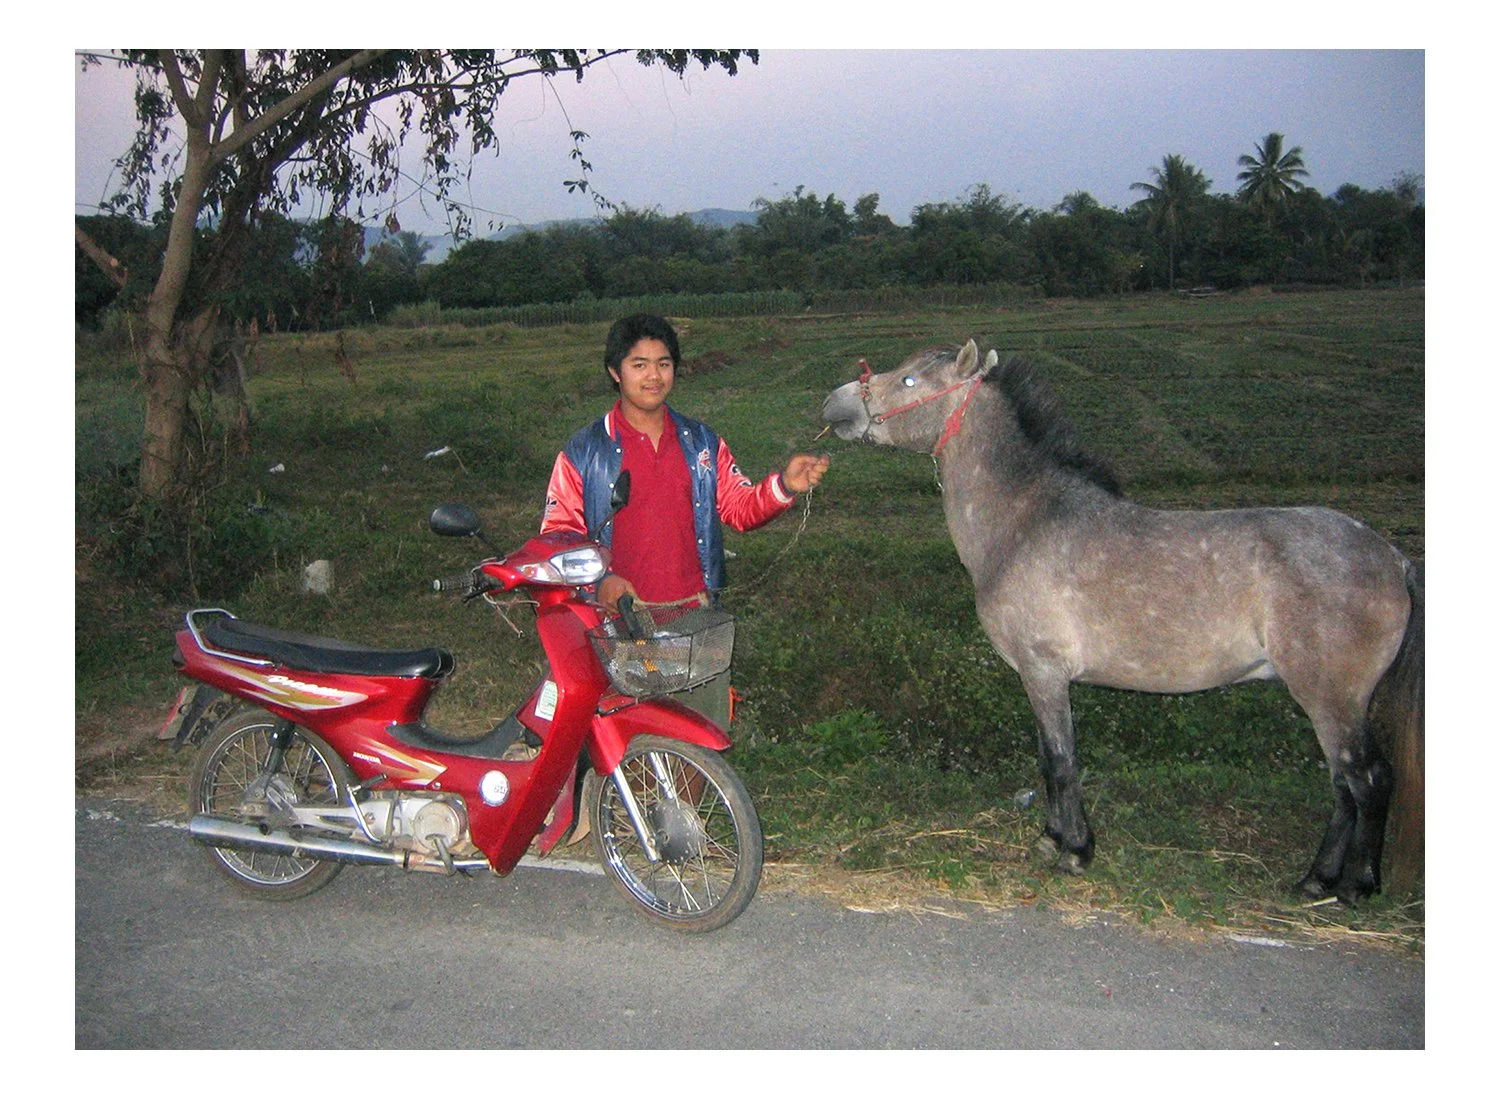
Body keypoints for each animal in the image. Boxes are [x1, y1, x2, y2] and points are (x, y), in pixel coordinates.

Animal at [821, 340, 1423, 903]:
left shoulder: (1044, 673)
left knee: (1366, 779)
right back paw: (1315, 880)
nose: (835, 404)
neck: (1024, 521)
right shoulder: (1038, 678)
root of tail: (1393, 557)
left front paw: (1075, 850)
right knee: (1342, 784)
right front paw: (1052, 839)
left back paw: (1354, 885)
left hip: (1331, 698)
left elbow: (1061, 760)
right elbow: (1047, 760)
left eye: (910, 379)